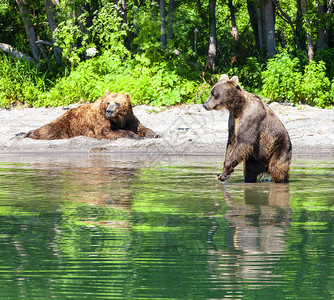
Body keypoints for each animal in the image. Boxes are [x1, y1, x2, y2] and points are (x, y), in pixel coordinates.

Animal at [24, 91, 158, 141]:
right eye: (108, 102)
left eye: (117, 103)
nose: (109, 111)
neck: (119, 119)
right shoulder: (100, 118)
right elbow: (107, 131)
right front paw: (134, 136)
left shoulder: (129, 118)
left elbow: (139, 127)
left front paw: (154, 134)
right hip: (65, 123)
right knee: (48, 130)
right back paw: (29, 133)